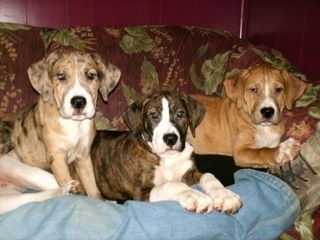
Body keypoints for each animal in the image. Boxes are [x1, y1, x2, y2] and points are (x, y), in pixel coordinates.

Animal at [89, 91, 241, 214]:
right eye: (153, 115)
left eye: (180, 114)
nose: (170, 139)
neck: (167, 158)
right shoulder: (141, 192)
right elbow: (172, 184)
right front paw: (195, 196)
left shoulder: (189, 173)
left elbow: (208, 175)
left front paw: (226, 196)